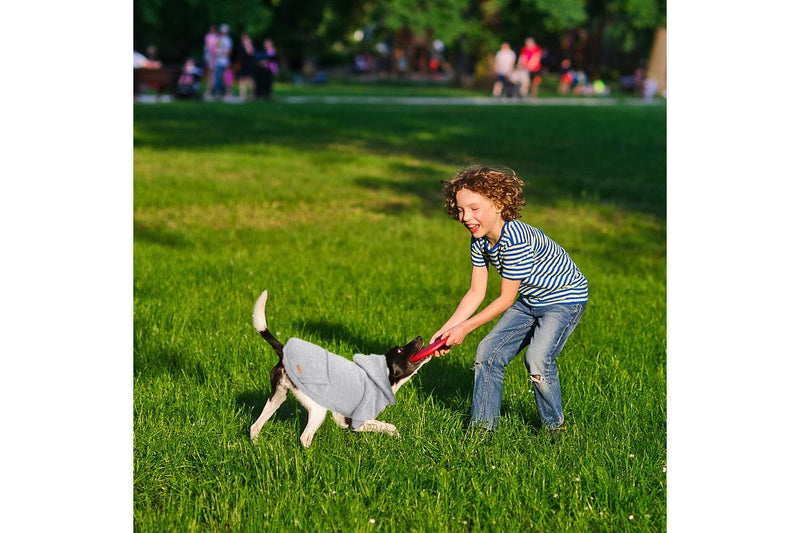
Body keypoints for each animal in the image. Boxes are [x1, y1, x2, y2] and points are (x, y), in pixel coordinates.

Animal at [248, 288, 432, 446]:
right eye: (400, 350)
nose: (419, 337)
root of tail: (285, 352)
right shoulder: (353, 422)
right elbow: (387, 425)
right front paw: (397, 436)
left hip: (278, 396)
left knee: (255, 426)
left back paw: (257, 447)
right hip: (318, 408)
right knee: (304, 437)